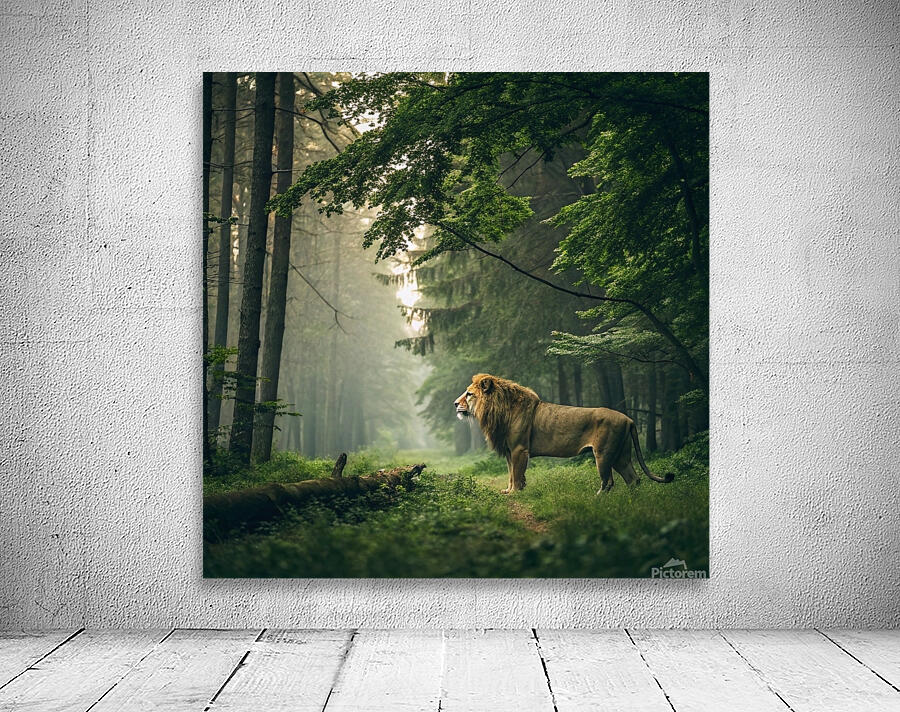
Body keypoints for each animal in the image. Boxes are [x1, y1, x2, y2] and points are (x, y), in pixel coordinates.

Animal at [454, 373, 674, 495]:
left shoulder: (519, 450)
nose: (455, 404)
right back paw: (632, 503)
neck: (498, 409)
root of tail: (629, 419)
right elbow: (510, 474)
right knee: (633, 479)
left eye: (469, 394)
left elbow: (516, 474)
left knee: (609, 481)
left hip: (603, 454)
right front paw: (508, 491)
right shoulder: (509, 451)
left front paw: (515, 493)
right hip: (621, 456)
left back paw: (596, 499)